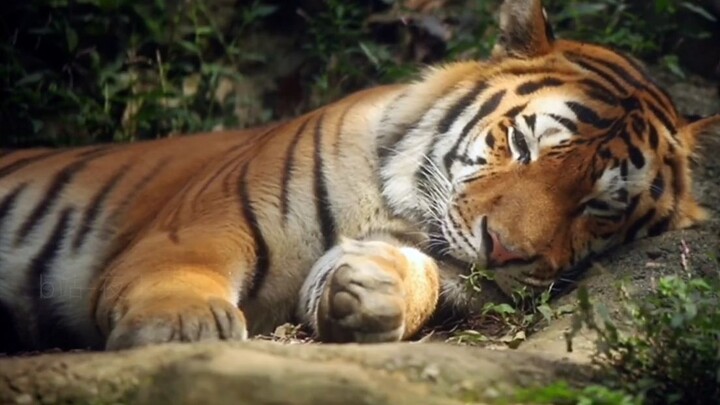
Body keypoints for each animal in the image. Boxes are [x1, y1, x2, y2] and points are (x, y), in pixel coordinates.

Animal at [1, 0, 718, 353]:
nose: (505, 251)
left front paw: (373, 290)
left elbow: (416, 276)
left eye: (601, 206)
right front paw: (182, 327)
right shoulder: (197, 225)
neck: (394, 206)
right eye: (521, 145)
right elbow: (182, 271)